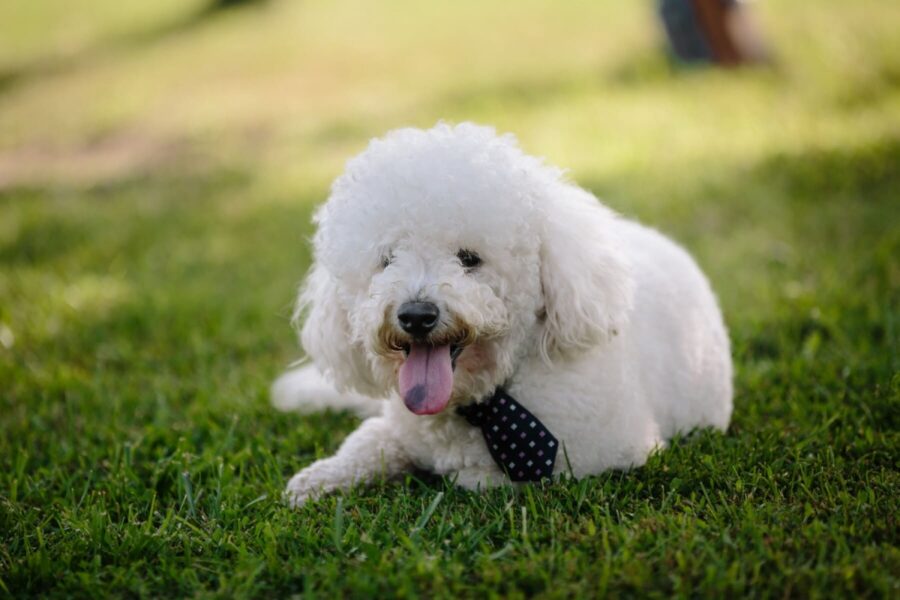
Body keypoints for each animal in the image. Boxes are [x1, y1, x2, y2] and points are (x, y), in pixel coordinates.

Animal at [274, 122, 732, 506]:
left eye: (469, 259)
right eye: (387, 261)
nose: (416, 315)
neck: (479, 402)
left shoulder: (606, 454)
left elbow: (480, 478)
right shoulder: (398, 427)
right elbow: (368, 443)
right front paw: (319, 479)